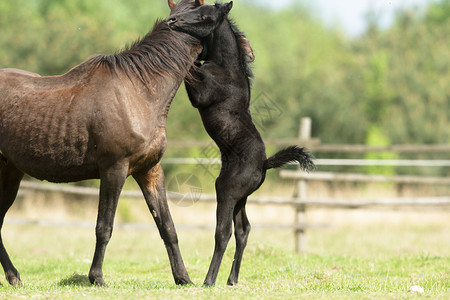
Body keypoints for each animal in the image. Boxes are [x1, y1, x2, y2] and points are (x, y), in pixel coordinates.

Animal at [0, 4, 230, 286]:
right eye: (211, 16)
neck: (139, 91)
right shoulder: (114, 169)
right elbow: (104, 226)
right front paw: (96, 277)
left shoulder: (150, 171)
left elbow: (167, 226)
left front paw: (183, 278)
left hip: (10, 172)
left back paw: (13, 276)